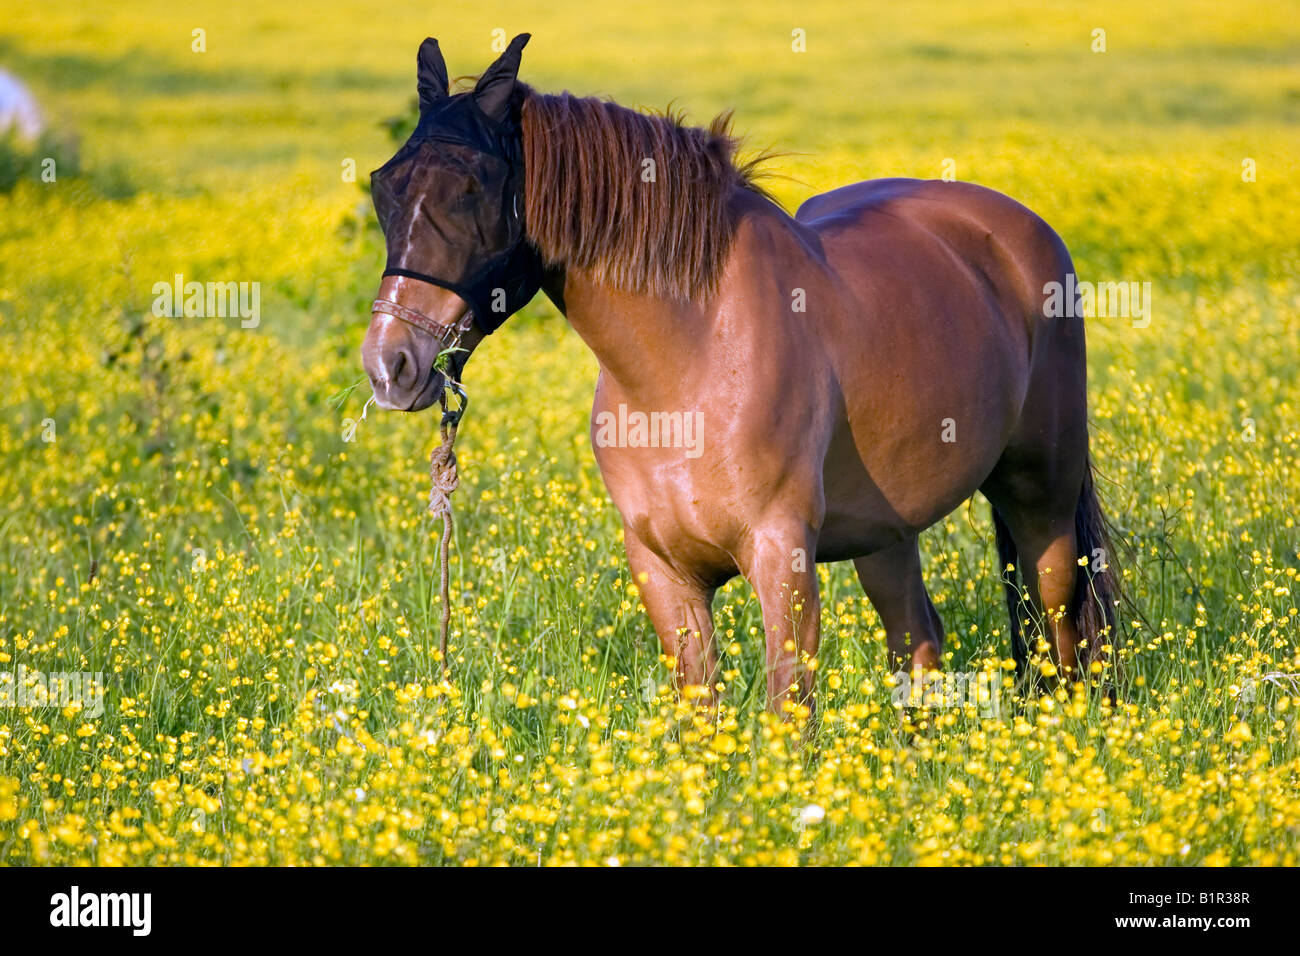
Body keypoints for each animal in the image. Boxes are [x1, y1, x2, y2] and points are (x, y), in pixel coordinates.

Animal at [364, 33, 1118, 712]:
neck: (687, 363)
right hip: (886, 532)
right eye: (384, 186)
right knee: (918, 640)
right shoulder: (664, 571)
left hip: (1041, 499)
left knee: (1062, 629)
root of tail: (1017, 230)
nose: (388, 363)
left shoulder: (781, 555)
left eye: (473, 190)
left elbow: (790, 708)